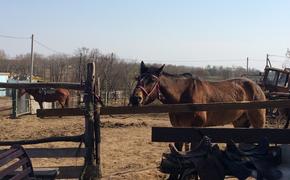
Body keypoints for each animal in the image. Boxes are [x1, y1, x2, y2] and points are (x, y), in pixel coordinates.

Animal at [130, 61, 266, 150]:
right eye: (138, 78)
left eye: (152, 80)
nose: (135, 98)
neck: (182, 98)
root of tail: (257, 86)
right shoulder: (178, 129)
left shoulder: (196, 128)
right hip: (240, 122)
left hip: (258, 121)